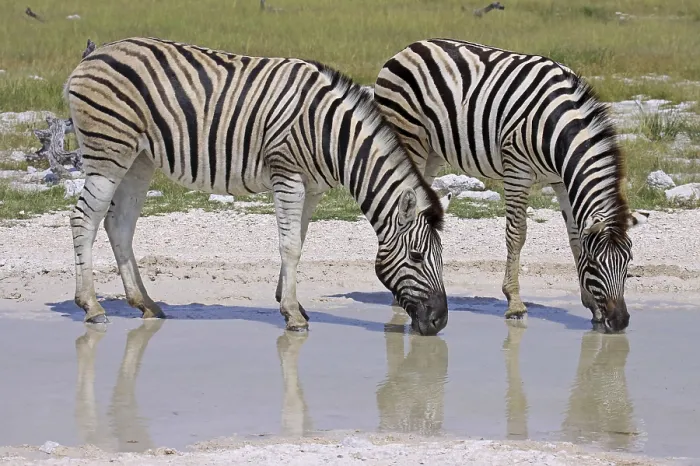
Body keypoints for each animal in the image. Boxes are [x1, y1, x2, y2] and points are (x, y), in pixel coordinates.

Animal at [64, 37, 452, 336]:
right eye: (417, 256)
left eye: (441, 257)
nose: (440, 322)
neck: (332, 135)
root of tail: (91, 57)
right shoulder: (287, 174)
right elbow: (290, 246)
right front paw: (293, 315)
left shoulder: (312, 187)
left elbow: (300, 241)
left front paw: (290, 303)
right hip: (108, 152)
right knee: (84, 218)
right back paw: (92, 306)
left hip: (139, 159)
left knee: (119, 224)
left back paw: (145, 303)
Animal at [373, 38, 649, 332]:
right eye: (596, 265)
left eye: (629, 262)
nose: (620, 321)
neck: (558, 127)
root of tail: (410, 47)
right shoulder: (517, 170)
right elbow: (517, 235)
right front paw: (515, 302)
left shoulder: (562, 181)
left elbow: (574, 237)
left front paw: (593, 308)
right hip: (408, 137)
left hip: (432, 151)